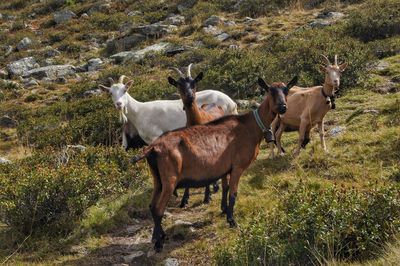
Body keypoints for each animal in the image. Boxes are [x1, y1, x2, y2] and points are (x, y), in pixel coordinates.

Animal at [100, 75, 238, 147]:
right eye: (110, 93)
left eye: (125, 90)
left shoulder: (155, 135)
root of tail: (232, 103)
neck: (139, 112)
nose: (119, 104)